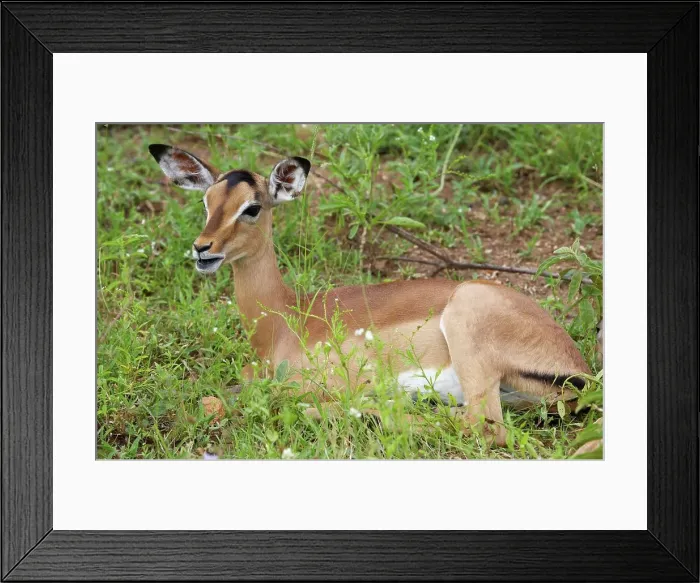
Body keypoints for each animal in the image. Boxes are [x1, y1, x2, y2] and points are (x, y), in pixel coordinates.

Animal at [149, 144, 590, 445]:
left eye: (252, 207)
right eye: (207, 201)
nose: (203, 249)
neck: (284, 320)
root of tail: (579, 367)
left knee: (483, 426)